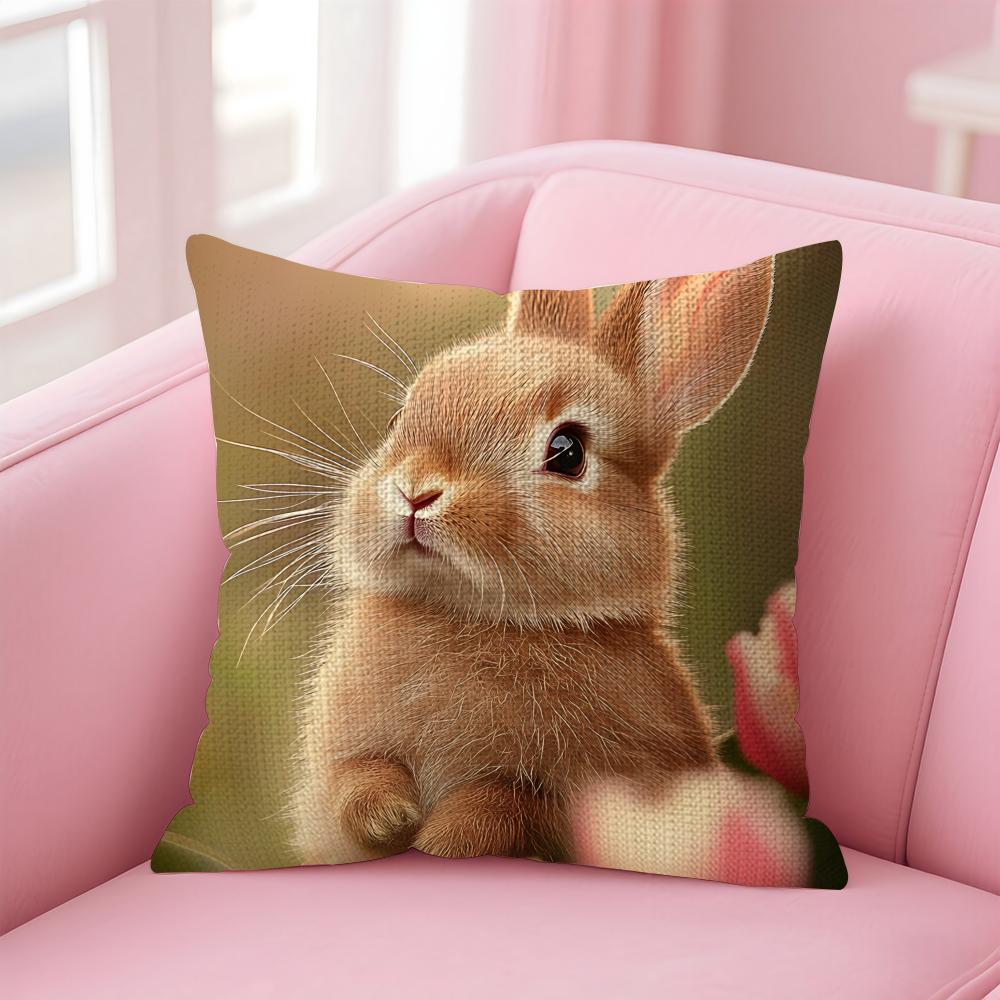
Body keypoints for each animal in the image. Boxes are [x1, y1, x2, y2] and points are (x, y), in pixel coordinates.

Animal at [289, 255, 776, 865]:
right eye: (397, 420)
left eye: (567, 451)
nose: (416, 491)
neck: (476, 618)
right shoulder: (341, 765)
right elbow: (357, 778)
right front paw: (391, 816)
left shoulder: (577, 796)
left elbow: (506, 804)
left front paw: (440, 839)